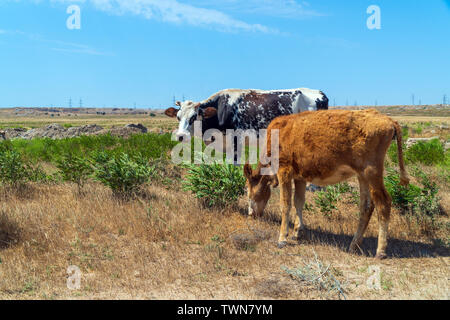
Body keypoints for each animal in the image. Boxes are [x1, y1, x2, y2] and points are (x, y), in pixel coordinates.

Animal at [244, 109, 410, 258]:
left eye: (247, 189)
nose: (251, 214)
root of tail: (388, 120)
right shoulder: (300, 176)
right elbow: (299, 202)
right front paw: (298, 232)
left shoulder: (284, 170)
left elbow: (285, 204)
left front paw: (282, 238)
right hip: (362, 175)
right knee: (367, 206)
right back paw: (354, 244)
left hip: (372, 172)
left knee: (383, 203)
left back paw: (380, 251)